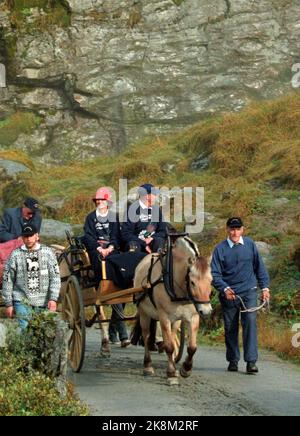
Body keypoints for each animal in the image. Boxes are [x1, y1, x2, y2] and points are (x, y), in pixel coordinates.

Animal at [132, 237, 212, 384]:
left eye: (211, 280)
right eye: (192, 282)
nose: (206, 311)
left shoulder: (193, 317)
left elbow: (192, 347)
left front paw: (185, 369)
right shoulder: (164, 317)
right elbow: (169, 346)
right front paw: (171, 373)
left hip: (175, 320)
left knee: (172, 335)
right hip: (144, 313)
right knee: (146, 336)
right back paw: (148, 366)